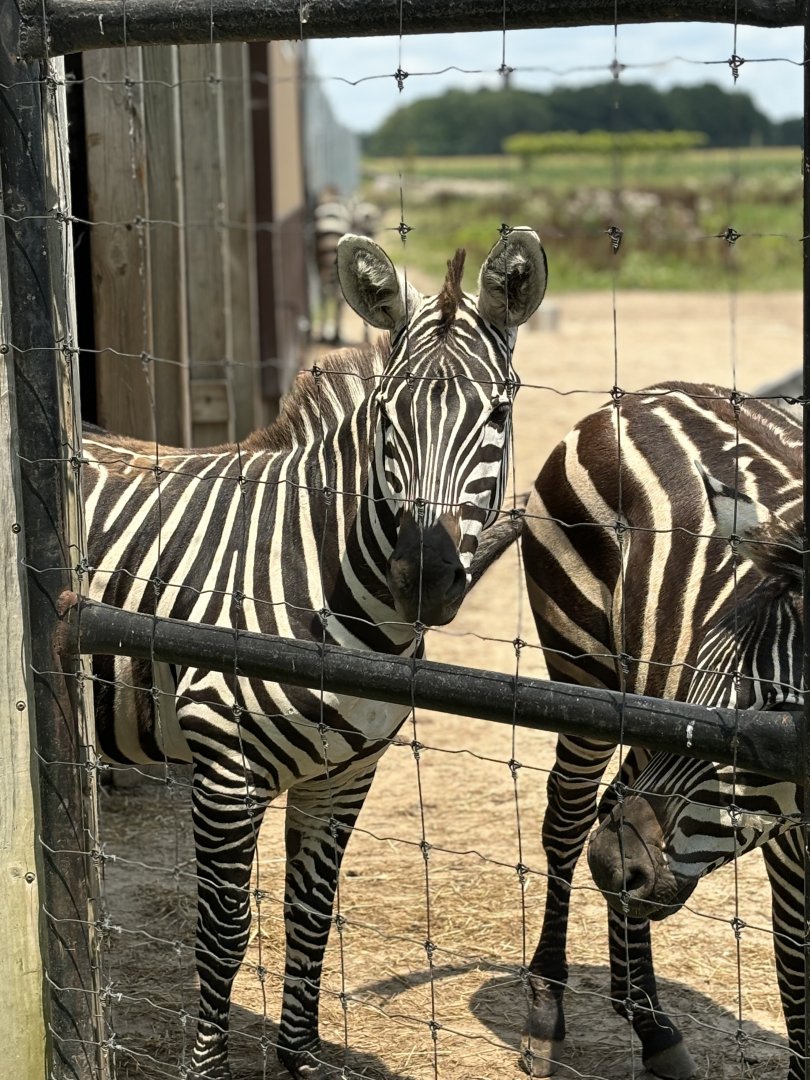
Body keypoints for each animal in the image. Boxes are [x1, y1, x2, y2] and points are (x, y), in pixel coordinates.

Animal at [83, 227, 548, 1080]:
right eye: (388, 417)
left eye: (498, 412)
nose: (422, 578)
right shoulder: (225, 770)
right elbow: (225, 933)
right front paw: (208, 1068)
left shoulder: (345, 774)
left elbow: (312, 914)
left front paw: (298, 1055)